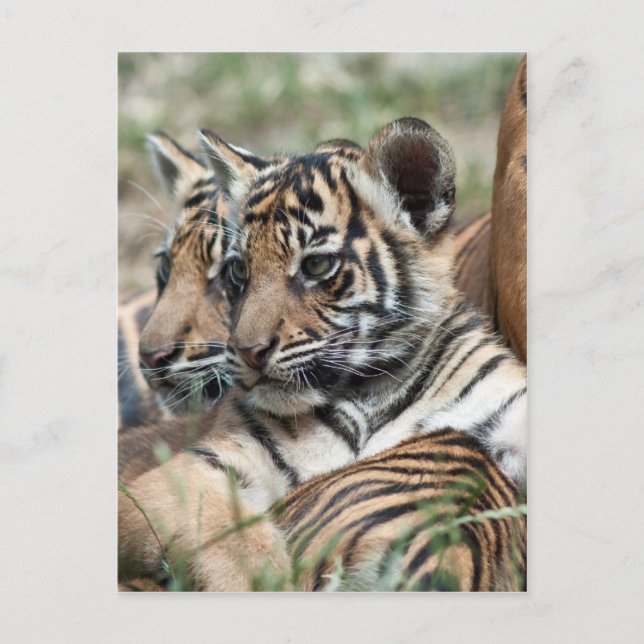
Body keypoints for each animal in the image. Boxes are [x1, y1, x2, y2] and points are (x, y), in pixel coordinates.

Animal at [118, 117, 527, 591]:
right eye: (241, 270)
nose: (249, 351)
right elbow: (237, 548)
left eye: (315, 265)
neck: (373, 391)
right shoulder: (196, 471)